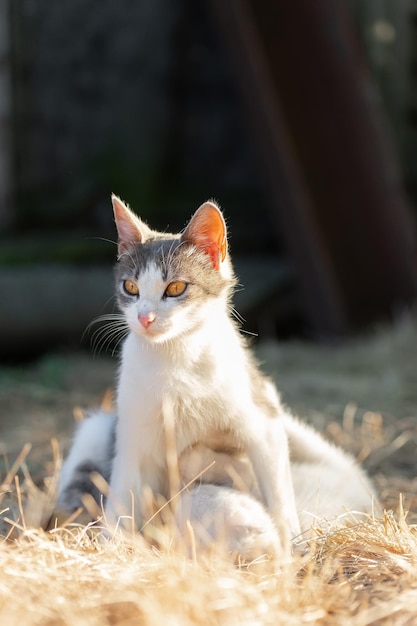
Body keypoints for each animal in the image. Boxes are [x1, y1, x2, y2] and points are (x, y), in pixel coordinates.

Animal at [57, 195, 378, 556]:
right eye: (130, 287)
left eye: (175, 288)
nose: (145, 318)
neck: (176, 359)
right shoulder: (131, 436)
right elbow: (122, 496)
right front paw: (111, 548)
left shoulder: (263, 421)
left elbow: (277, 494)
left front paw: (294, 546)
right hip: (99, 427)